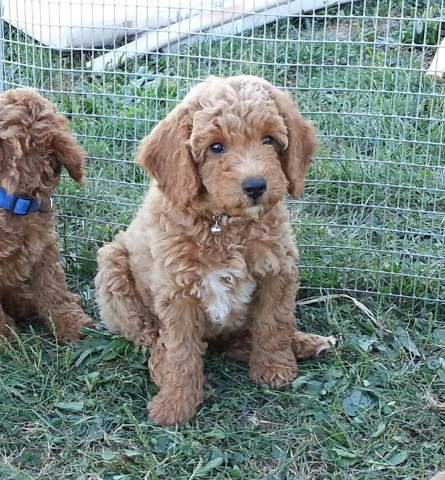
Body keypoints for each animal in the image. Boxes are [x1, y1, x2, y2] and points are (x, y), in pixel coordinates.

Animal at [96, 75, 332, 424]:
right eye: (216, 147)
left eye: (269, 140)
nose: (256, 186)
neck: (225, 224)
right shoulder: (177, 292)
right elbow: (180, 351)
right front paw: (176, 403)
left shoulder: (277, 270)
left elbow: (274, 323)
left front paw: (275, 368)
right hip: (112, 269)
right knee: (151, 337)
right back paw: (162, 369)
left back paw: (303, 343)